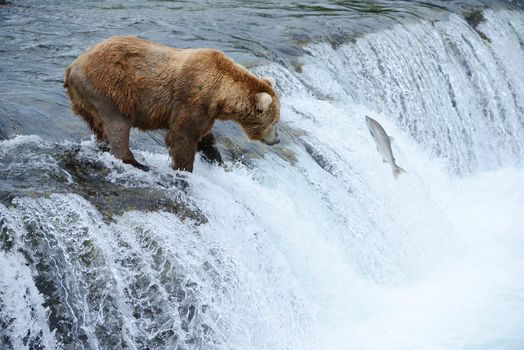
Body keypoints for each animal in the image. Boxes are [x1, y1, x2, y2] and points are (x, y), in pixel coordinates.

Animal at [63, 34, 280, 172]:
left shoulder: (205, 111)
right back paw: (138, 163)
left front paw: (218, 160)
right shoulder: (192, 99)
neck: (220, 96)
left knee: (99, 126)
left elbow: (204, 137)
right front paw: (184, 169)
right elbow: (182, 136)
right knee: (118, 123)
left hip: (86, 98)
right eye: (275, 122)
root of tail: (73, 65)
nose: (277, 139)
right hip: (111, 87)